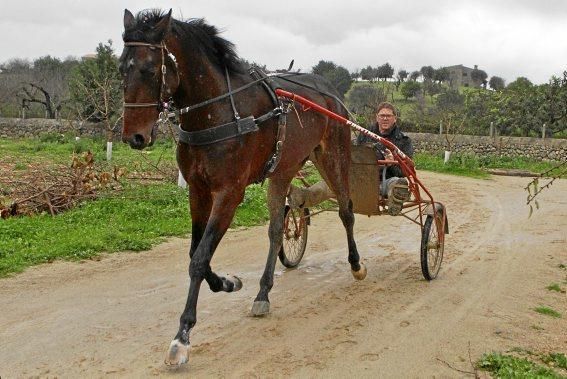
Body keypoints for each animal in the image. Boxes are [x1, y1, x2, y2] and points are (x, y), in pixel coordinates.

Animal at [120, 8, 368, 366]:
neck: (218, 112)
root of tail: (329, 91)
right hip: (284, 169)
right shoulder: (198, 190)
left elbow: (199, 259)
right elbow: (196, 252)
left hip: (333, 155)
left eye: (149, 69)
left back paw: (356, 263)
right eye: (120, 68)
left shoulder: (229, 192)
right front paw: (226, 283)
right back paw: (263, 291)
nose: (134, 137)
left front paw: (183, 335)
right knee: (277, 229)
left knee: (346, 210)